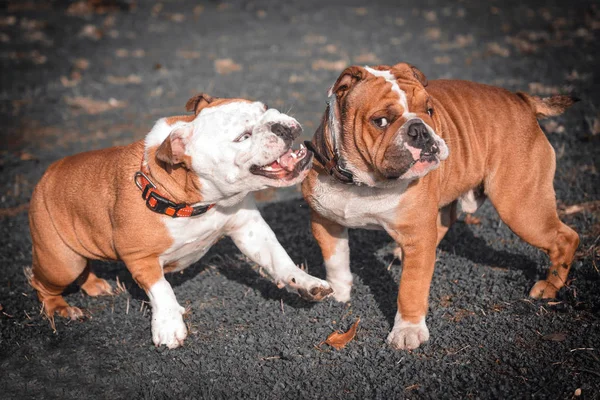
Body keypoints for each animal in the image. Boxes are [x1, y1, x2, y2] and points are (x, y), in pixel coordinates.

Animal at [302, 62, 580, 350]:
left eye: (429, 110)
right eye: (381, 121)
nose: (420, 129)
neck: (362, 183)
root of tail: (521, 100)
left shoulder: (417, 233)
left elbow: (411, 288)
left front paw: (408, 330)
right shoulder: (325, 222)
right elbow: (335, 260)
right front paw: (339, 291)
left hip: (521, 208)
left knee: (565, 238)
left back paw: (550, 286)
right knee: (445, 221)